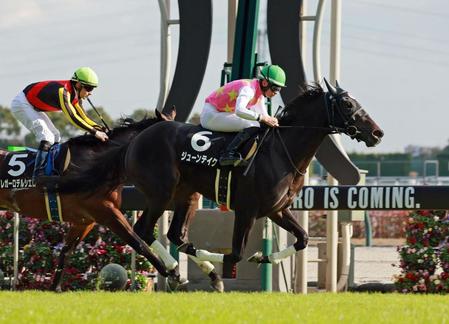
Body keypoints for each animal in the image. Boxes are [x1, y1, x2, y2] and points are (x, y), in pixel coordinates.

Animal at [57, 81, 384, 288]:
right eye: (346, 103)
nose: (377, 133)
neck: (282, 151)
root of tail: (137, 138)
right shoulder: (247, 209)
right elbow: (236, 253)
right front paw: (230, 264)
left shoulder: (277, 210)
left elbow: (302, 239)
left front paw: (262, 256)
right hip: (161, 193)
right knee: (143, 231)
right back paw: (174, 270)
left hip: (186, 195)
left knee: (175, 235)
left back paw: (200, 272)